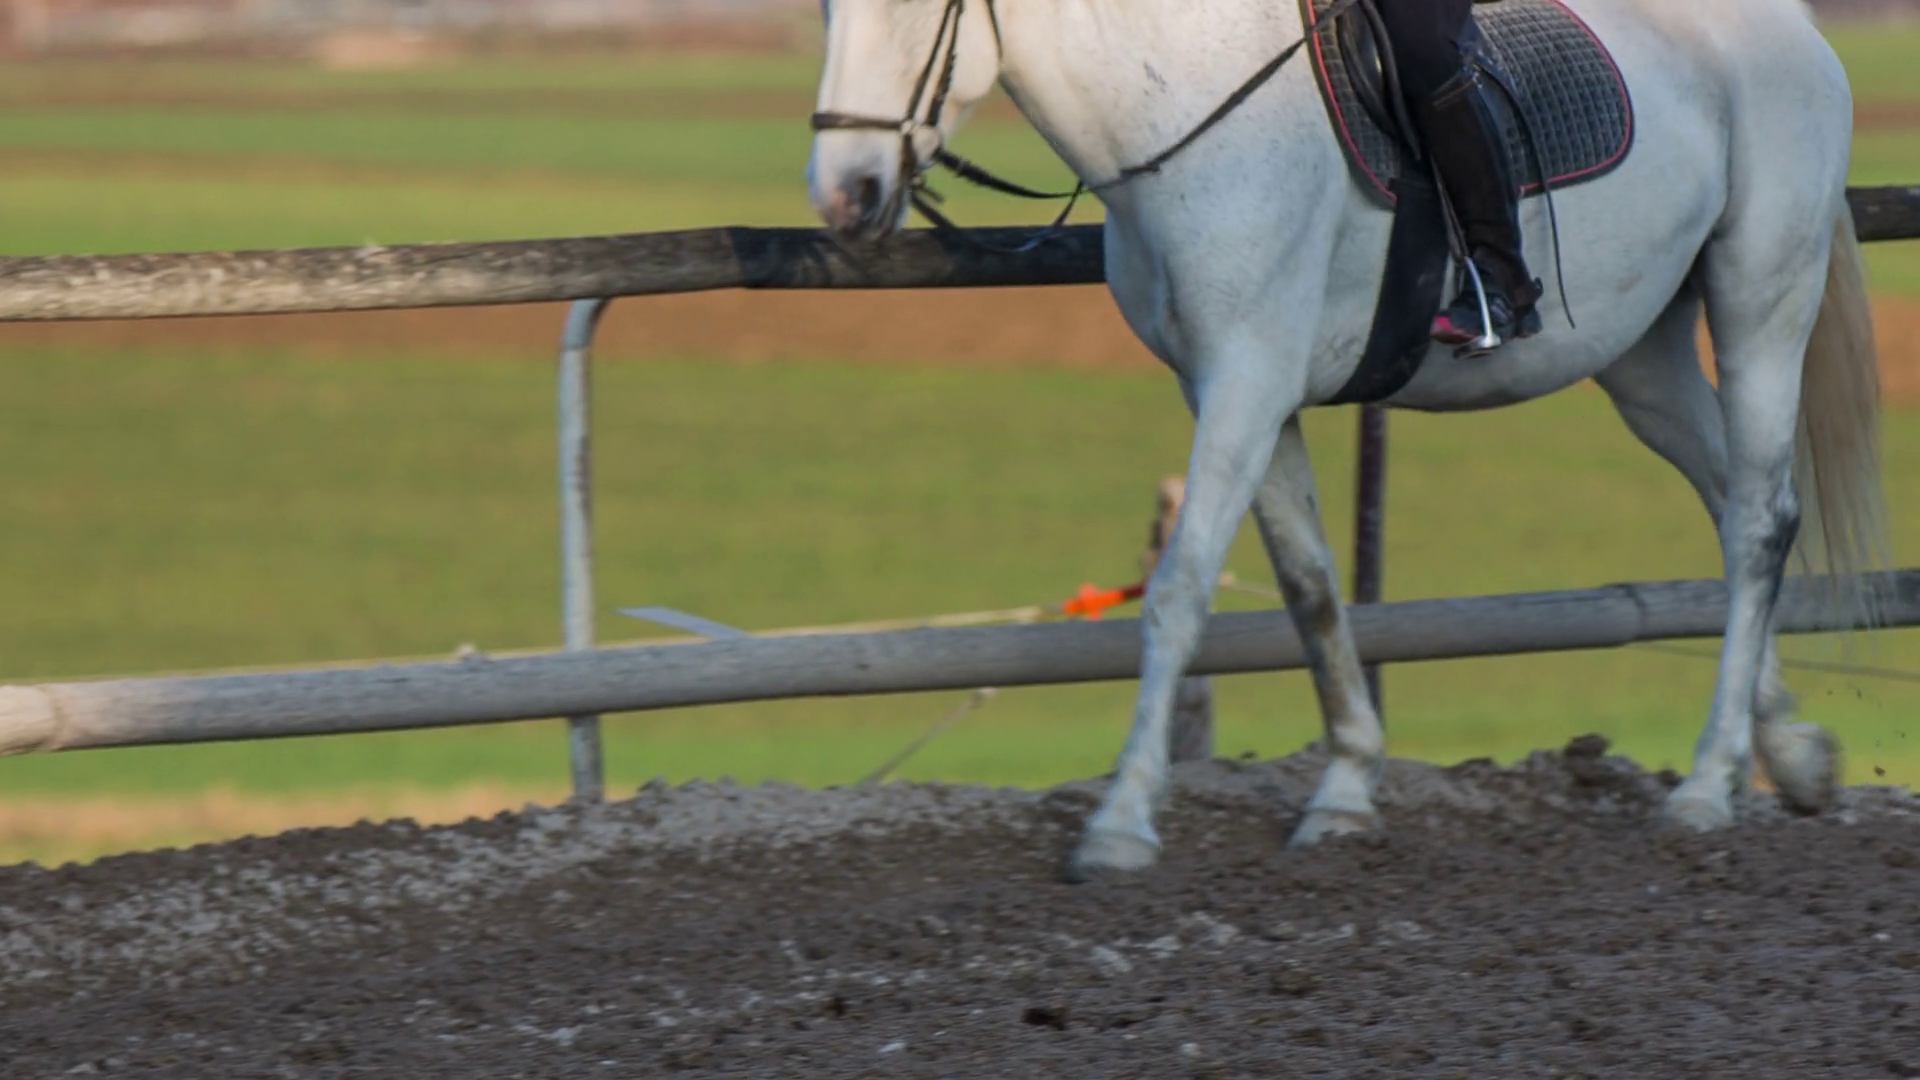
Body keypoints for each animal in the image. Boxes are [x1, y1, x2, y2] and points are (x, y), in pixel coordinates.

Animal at [805, 0, 1884, 880]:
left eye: (913, 8)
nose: (844, 196)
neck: (1184, 102)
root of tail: (1794, 29)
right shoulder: (1240, 390)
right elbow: (1310, 587)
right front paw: (1347, 791)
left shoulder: (1244, 379)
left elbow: (1181, 590)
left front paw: (1120, 822)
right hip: (1643, 357)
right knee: (1741, 507)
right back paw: (1790, 753)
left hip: (1759, 303)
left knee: (1757, 520)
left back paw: (1707, 785)